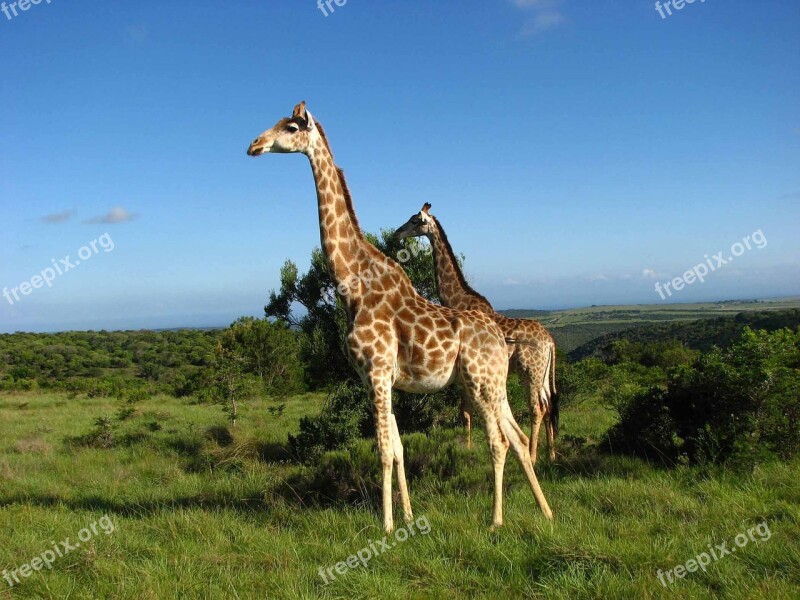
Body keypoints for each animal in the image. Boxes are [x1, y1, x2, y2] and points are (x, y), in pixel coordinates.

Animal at [396, 204, 560, 462]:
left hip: (530, 371)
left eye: (415, 220)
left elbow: (465, 412)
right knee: (550, 404)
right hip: (543, 374)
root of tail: (551, 342)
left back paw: (533, 456)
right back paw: (551, 454)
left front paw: (468, 449)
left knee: (537, 408)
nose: (397, 232)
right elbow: (467, 411)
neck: (458, 300)